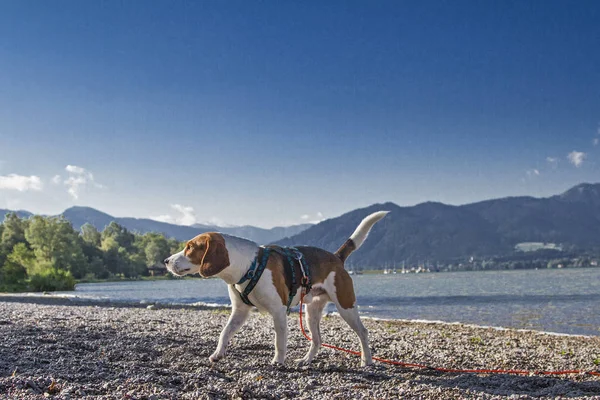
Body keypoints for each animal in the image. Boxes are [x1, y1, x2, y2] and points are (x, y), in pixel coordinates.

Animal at [164, 212, 390, 366]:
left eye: (190, 247)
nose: (166, 261)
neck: (248, 266)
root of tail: (336, 257)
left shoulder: (279, 310)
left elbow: (279, 341)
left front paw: (278, 362)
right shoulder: (239, 311)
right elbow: (225, 333)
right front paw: (218, 354)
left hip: (346, 305)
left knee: (363, 332)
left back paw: (367, 360)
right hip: (311, 311)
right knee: (317, 340)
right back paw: (306, 360)